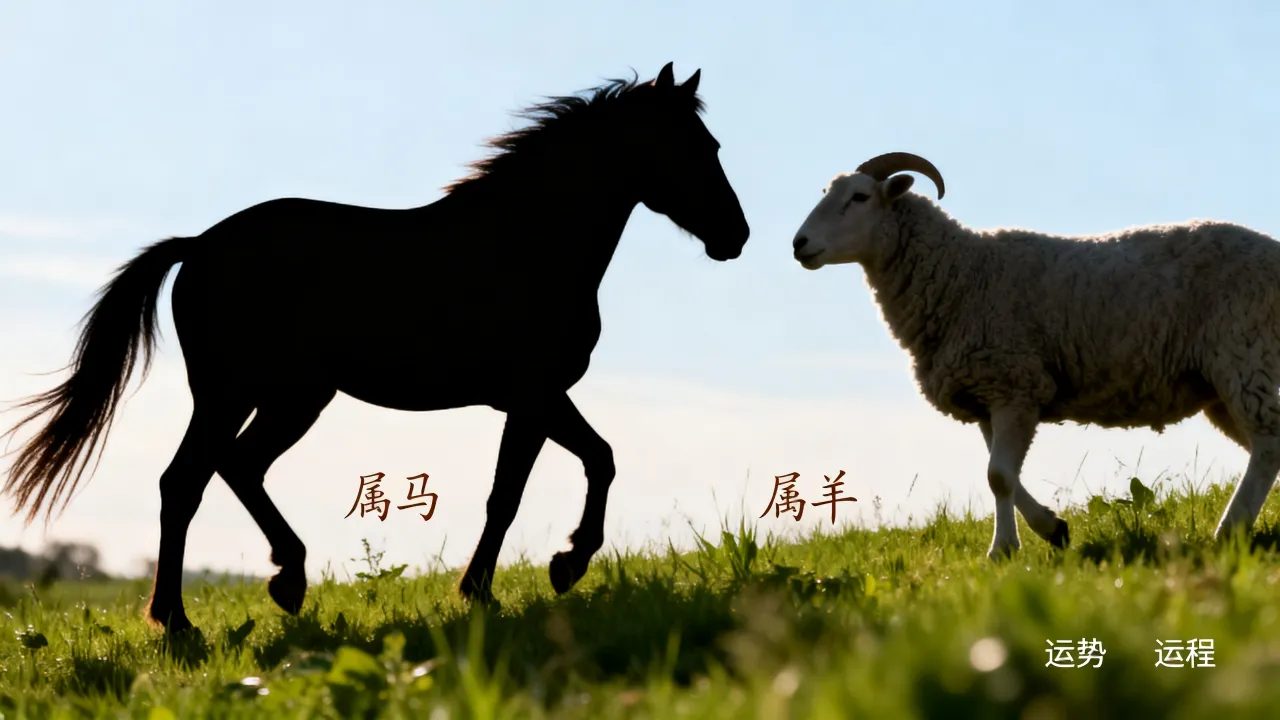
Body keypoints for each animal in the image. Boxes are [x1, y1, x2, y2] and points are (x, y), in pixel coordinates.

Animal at [1, 62, 750, 633]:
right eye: (700, 148)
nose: (736, 236)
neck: (526, 242)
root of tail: (200, 246)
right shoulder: (530, 395)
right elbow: (508, 494)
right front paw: (490, 587)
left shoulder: (537, 396)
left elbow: (600, 458)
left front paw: (565, 564)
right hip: (238, 393)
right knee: (192, 479)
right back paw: (199, 612)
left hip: (287, 397)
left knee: (225, 470)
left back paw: (265, 588)